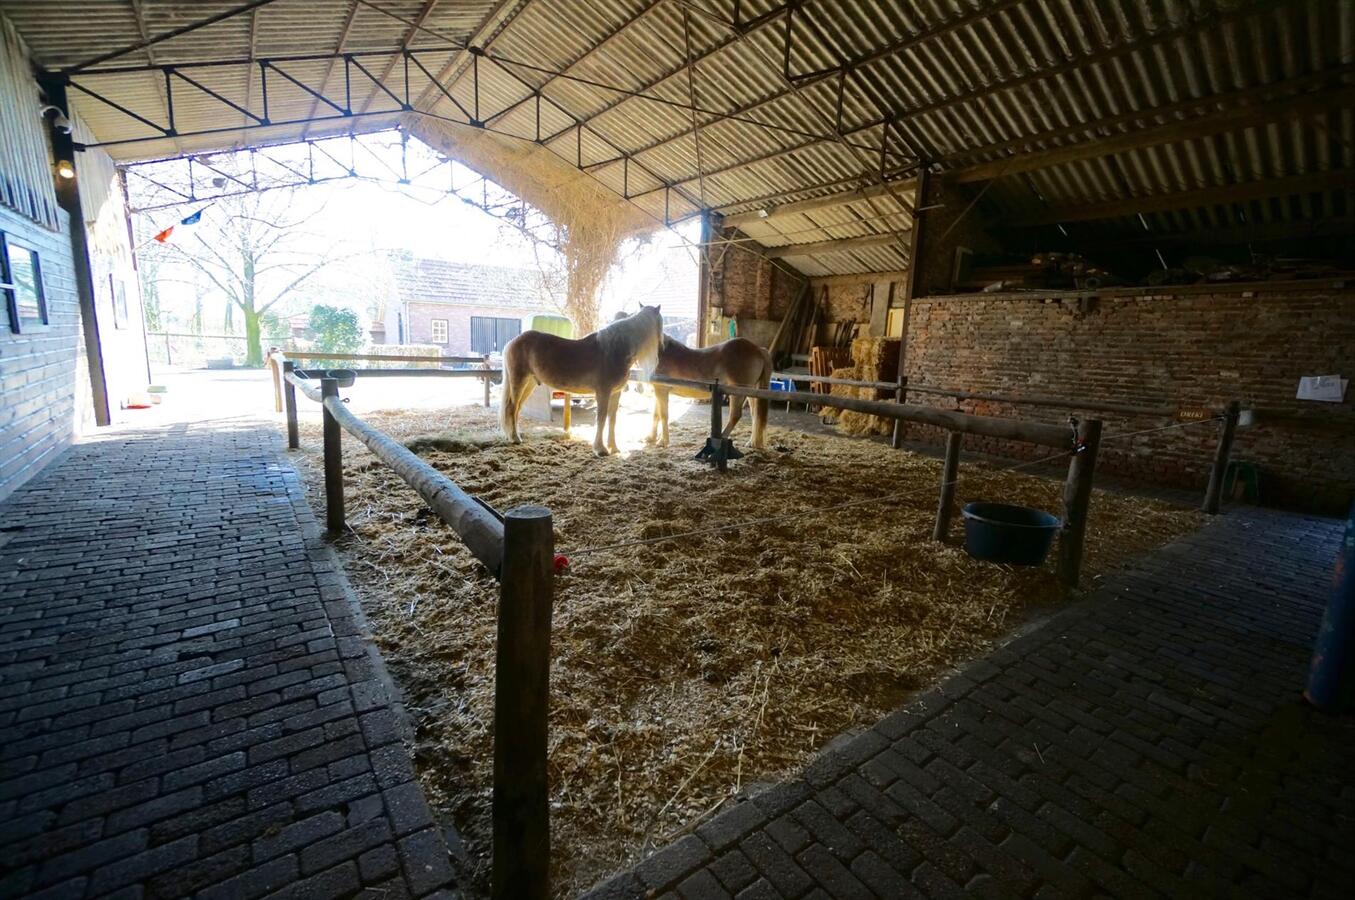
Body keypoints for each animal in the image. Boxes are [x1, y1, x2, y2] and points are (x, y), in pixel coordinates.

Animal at [501, 306, 663, 458]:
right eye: (660, 323)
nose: (663, 347)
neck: (615, 349)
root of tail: (512, 342)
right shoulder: (603, 392)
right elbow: (601, 418)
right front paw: (600, 449)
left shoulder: (615, 393)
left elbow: (612, 419)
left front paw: (614, 448)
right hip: (519, 381)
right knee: (511, 407)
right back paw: (515, 438)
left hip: (529, 383)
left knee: (516, 408)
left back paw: (514, 436)